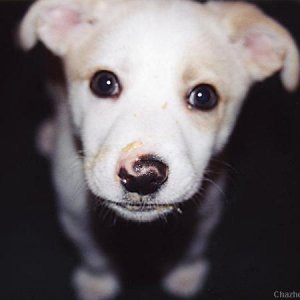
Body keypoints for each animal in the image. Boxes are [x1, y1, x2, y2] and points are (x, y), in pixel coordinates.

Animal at [18, 0, 298, 300]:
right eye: (104, 83)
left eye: (204, 96)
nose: (142, 176)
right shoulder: (74, 216)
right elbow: (93, 255)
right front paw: (97, 283)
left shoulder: (206, 212)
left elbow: (192, 248)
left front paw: (185, 275)